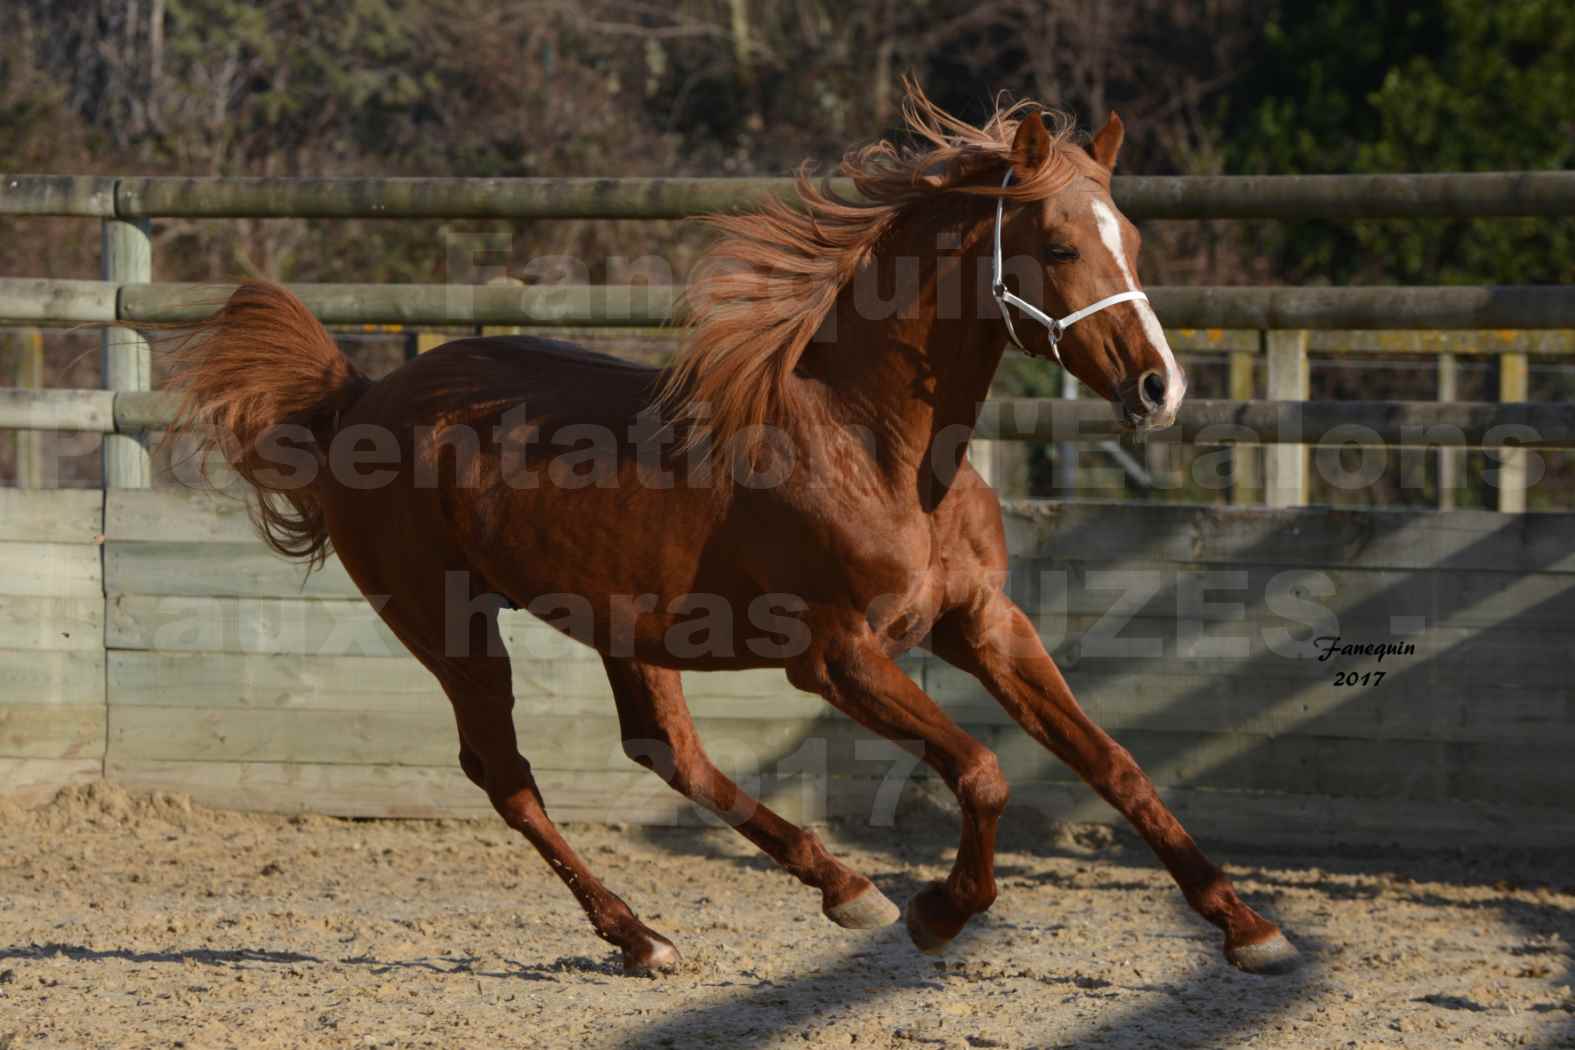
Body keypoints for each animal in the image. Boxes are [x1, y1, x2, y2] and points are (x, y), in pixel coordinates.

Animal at [169, 84, 1304, 976]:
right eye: (1059, 244)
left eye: (1133, 240)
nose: (1160, 388)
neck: (874, 447)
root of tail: (359, 397)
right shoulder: (838, 658)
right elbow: (981, 771)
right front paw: (938, 912)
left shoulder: (984, 624)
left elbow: (1113, 763)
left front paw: (1248, 926)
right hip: (450, 627)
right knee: (509, 777)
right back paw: (648, 934)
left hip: (624, 627)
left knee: (667, 752)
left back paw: (834, 887)